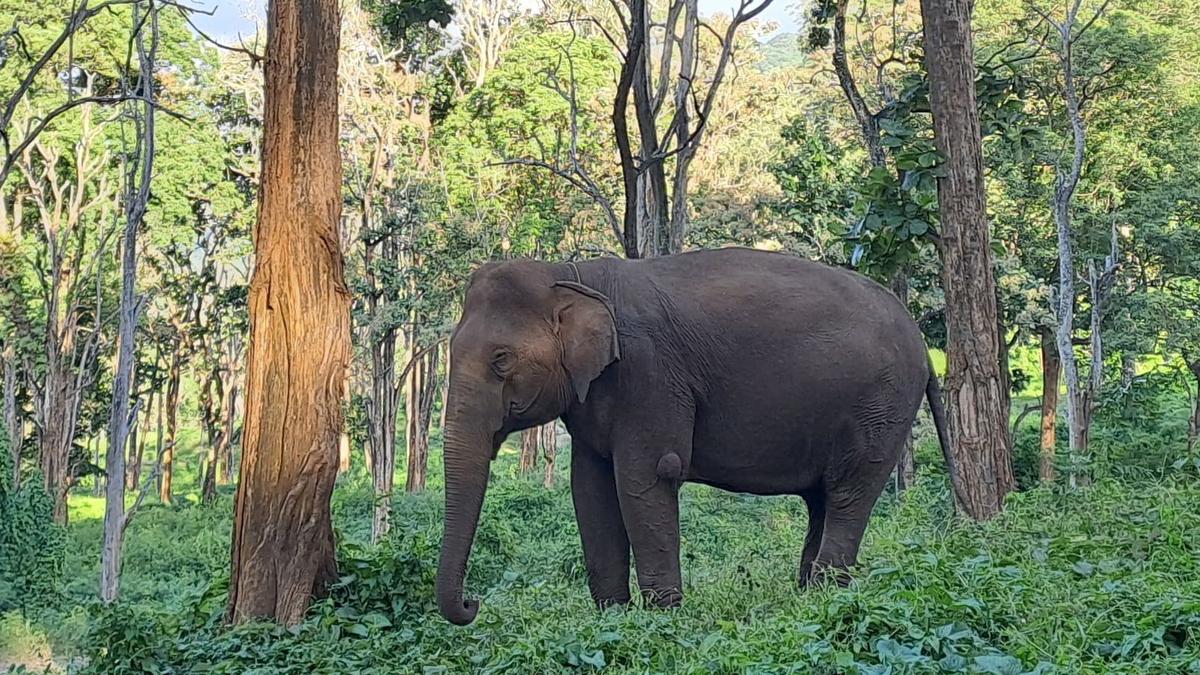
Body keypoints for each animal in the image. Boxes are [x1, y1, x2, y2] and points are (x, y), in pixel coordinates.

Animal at [434, 243, 955, 624]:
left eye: (501, 360)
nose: (474, 603)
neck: (571, 272)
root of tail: (922, 343)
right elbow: (590, 488)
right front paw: (612, 621)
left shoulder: (649, 375)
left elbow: (647, 477)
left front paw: (662, 623)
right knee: (822, 499)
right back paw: (806, 599)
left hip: (880, 407)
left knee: (849, 494)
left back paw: (826, 600)